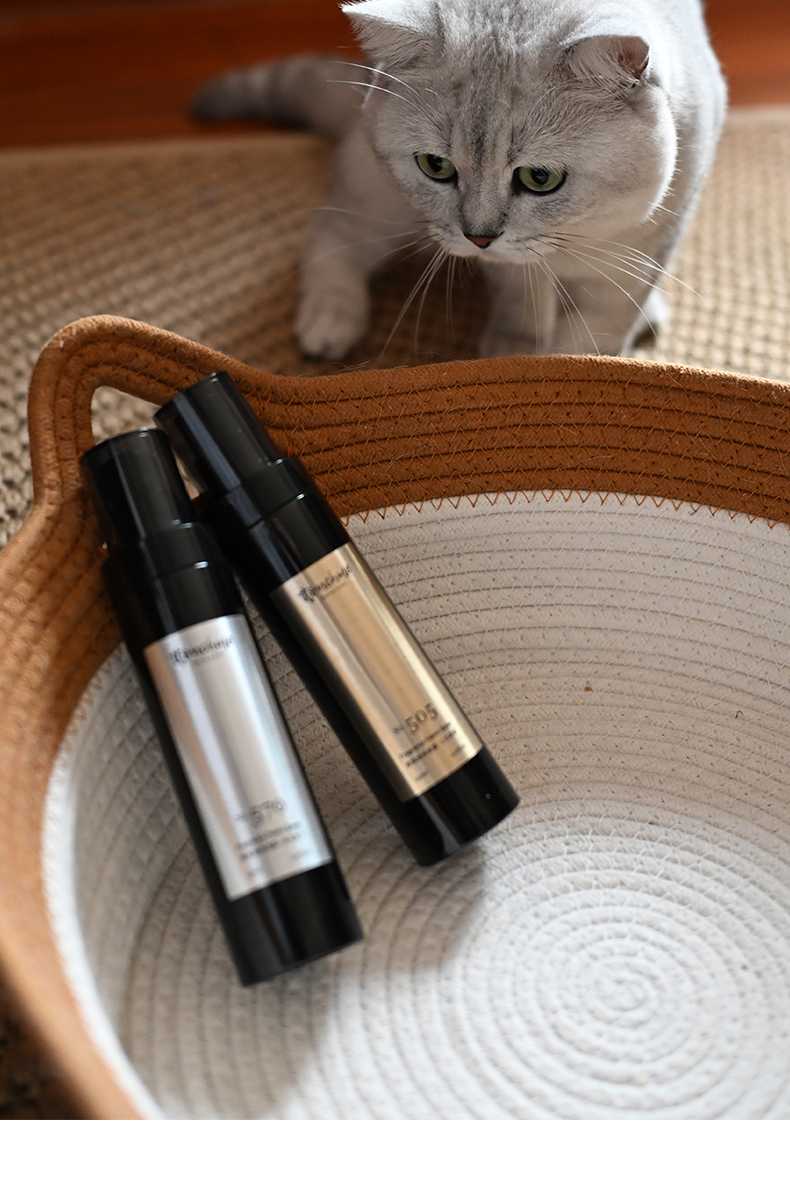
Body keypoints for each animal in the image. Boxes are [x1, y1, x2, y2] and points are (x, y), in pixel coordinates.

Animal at [193, 0, 726, 360]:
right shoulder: (513, 270)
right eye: (437, 167)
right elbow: (522, 304)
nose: (479, 238)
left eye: (540, 178)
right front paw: (512, 355)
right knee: (329, 237)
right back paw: (329, 323)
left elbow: (592, 337)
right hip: (376, 199)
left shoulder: (638, 256)